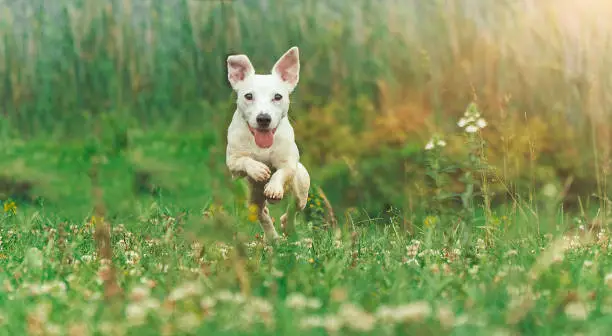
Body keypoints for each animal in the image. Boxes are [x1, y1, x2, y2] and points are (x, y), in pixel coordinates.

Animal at [225, 46, 310, 242]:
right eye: (248, 96)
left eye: (277, 97)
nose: (263, 118)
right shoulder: (232, 162)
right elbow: (243, 160)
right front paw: (258, 169)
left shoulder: (289, 164)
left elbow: (281, 172)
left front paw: (273, 186)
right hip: (251, 198)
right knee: (262, 213)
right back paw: (272, 237)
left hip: (302, 185)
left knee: (294, 207)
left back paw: (287, 225)